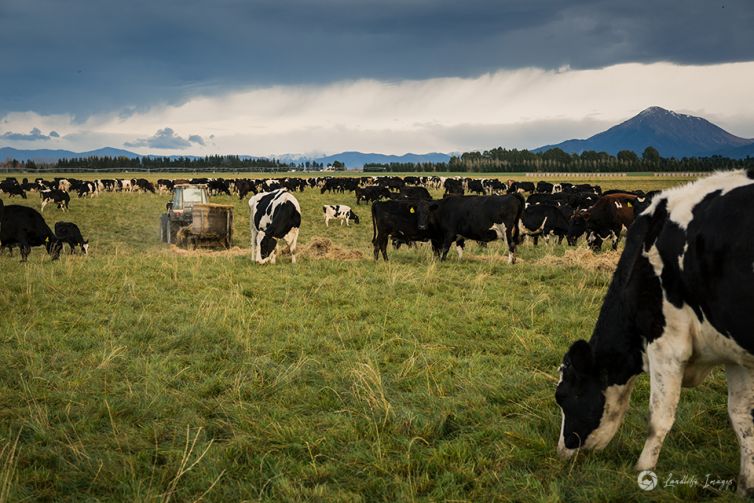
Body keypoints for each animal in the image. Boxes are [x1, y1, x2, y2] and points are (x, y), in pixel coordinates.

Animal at [552, 171, 752, 498]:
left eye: (563, 396)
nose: (563, 450)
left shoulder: (666, 346)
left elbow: (659, 417)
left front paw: (642, 470)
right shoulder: (735, 354)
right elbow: (742, 419)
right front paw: (746, 486)